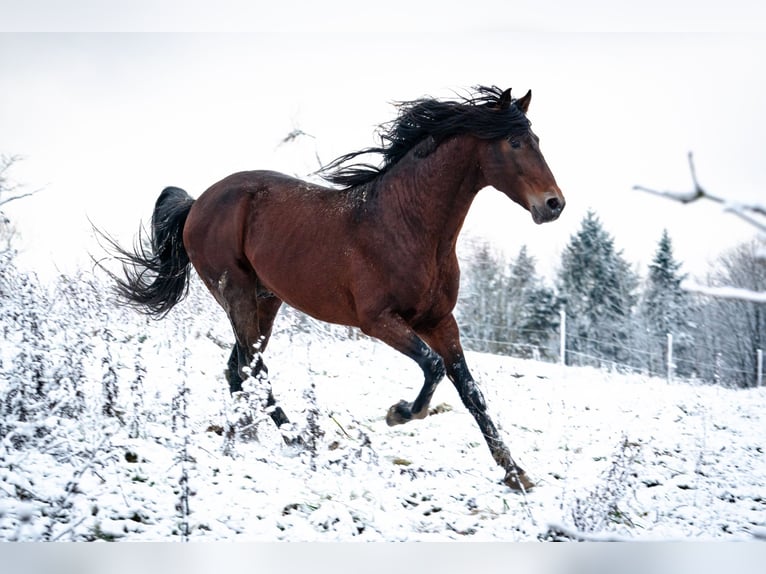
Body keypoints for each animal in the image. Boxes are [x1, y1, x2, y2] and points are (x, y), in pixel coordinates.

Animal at [111, 86, 564, 490]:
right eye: (515, 142)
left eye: (537, 140)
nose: (554, 204)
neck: (407, 224)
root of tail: (197, 203)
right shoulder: (378, 321)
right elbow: (433, 366)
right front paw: (399, 413)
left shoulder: (439, 320)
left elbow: (471, 392)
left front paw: (515, 474)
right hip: (235, 292)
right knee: (253, 367)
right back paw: (295, 437)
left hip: (265, 300)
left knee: (238, 367)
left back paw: (245, 435)